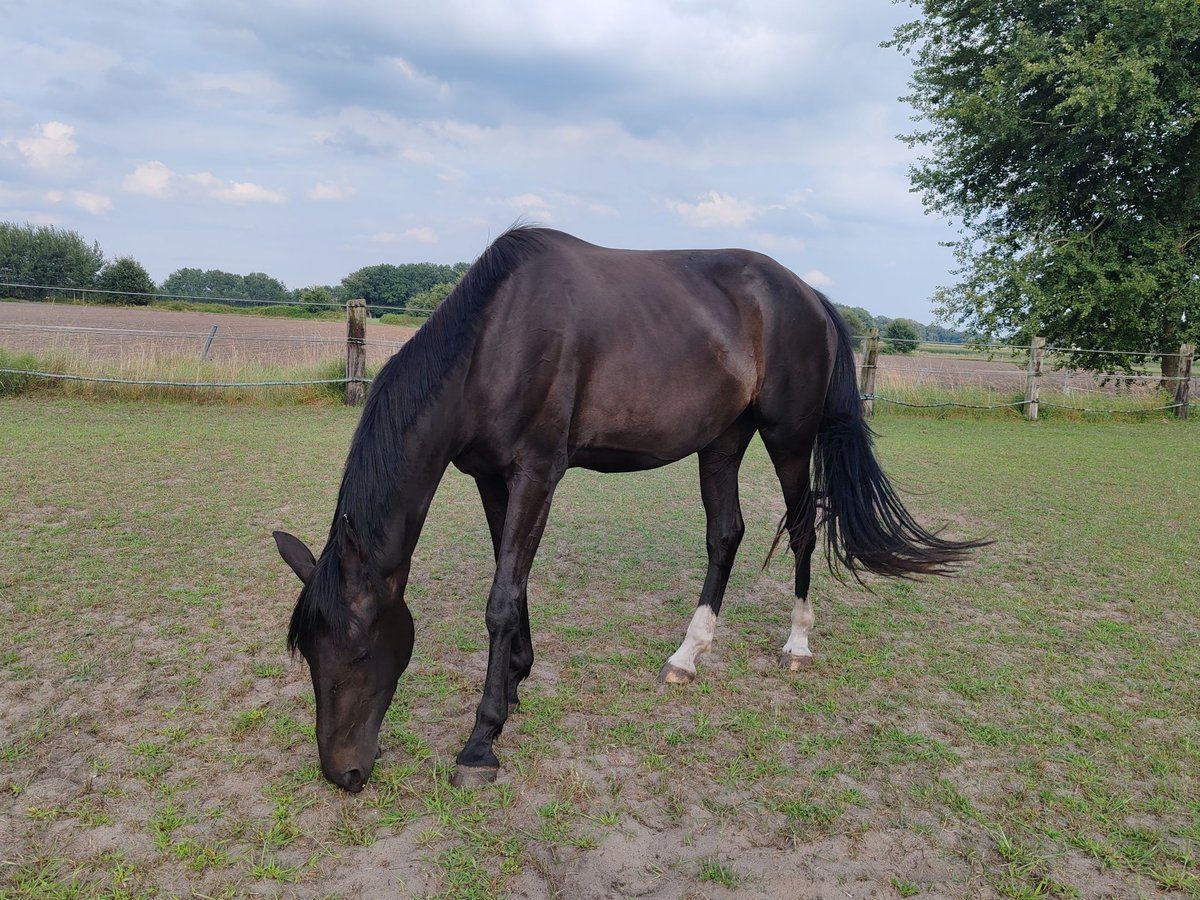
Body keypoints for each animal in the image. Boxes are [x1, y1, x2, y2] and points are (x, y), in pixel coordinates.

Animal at [272, 226, 984, 796]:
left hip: (789, 437)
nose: (344, 772)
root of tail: (807, 294)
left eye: (360, 651)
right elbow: (514, 582)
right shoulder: (492, 479)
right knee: (725, 535)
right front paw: (516, 683)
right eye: (310, 654)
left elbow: (501, 597)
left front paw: (481, 741)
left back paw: (797, 644)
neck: (495, 340)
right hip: (722, 442)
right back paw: (687, 656)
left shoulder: (537, 473)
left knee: (804, 530)